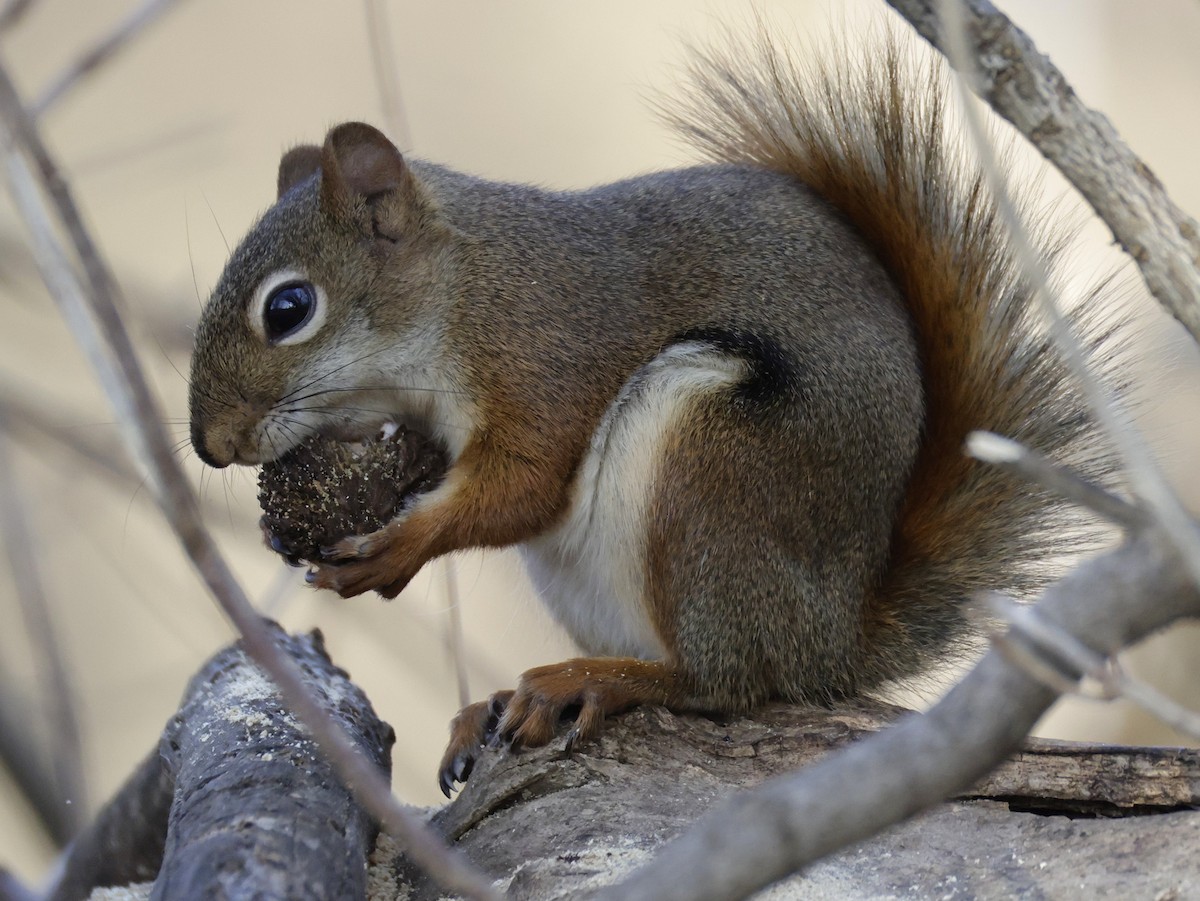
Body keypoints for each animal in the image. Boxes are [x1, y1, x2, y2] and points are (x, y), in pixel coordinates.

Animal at [188, 32, 1109, 797]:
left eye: (289, 308)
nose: (209, 445)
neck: (462, 294)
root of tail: (834, 637)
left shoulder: (547, 360)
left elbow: (524, 489)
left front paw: (397, 545)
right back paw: (506, 700)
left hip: (709, 475)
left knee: (727, 680)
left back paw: (602, 680)